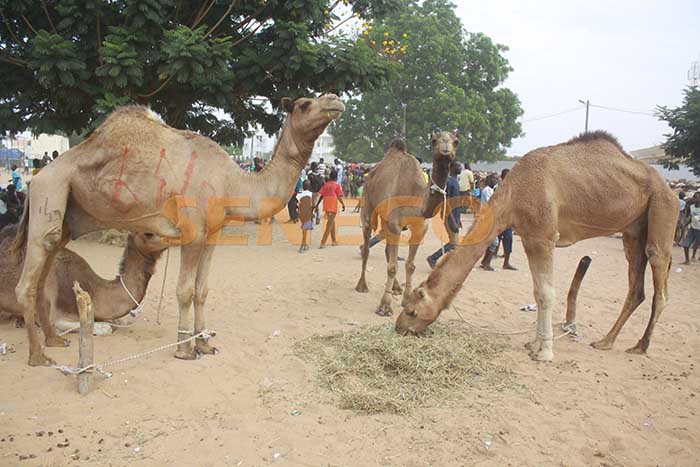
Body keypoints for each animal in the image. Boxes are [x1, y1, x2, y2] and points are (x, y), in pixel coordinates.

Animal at [356, 133, 460, 320]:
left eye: (456, 141)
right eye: (434, 140)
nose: (446, 147)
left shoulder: (420, 229)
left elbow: (410, 265)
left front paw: (406, 300)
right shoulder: (395, 224)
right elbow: (392, 267)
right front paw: (384, 307)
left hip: (387, 220)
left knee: (387, 248)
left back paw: (396, 288)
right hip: (368, 203)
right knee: (367, 244)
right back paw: (362, 285)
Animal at [396, 132, 676, 362]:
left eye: (411, 311)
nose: (398, 327)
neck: (514, 194)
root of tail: (669, 187)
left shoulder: (544, 237)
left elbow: (547, 294)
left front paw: (545, 353)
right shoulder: (530, 237)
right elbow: (538, 293)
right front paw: (534, 345)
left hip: (663, 207)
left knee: (659, 279)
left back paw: (641, 345)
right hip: (633, 230)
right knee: (636, 287)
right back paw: (605, 341)